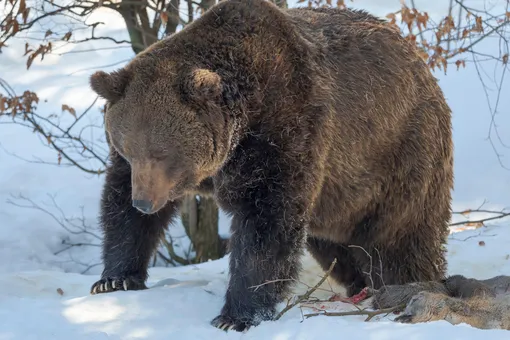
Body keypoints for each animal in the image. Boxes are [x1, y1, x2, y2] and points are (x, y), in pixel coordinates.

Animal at [87, 0, 454, 332]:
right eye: (129, 148)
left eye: (163, 153)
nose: (144, 201)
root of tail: (422, 65)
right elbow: (121, 209)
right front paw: (114, 279)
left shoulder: (285, 130)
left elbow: (266, 224)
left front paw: (235, 315)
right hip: (338, 197)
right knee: (339, 247)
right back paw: (359, 285)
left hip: (398, 155)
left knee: (400, 238)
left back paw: (406, 286)